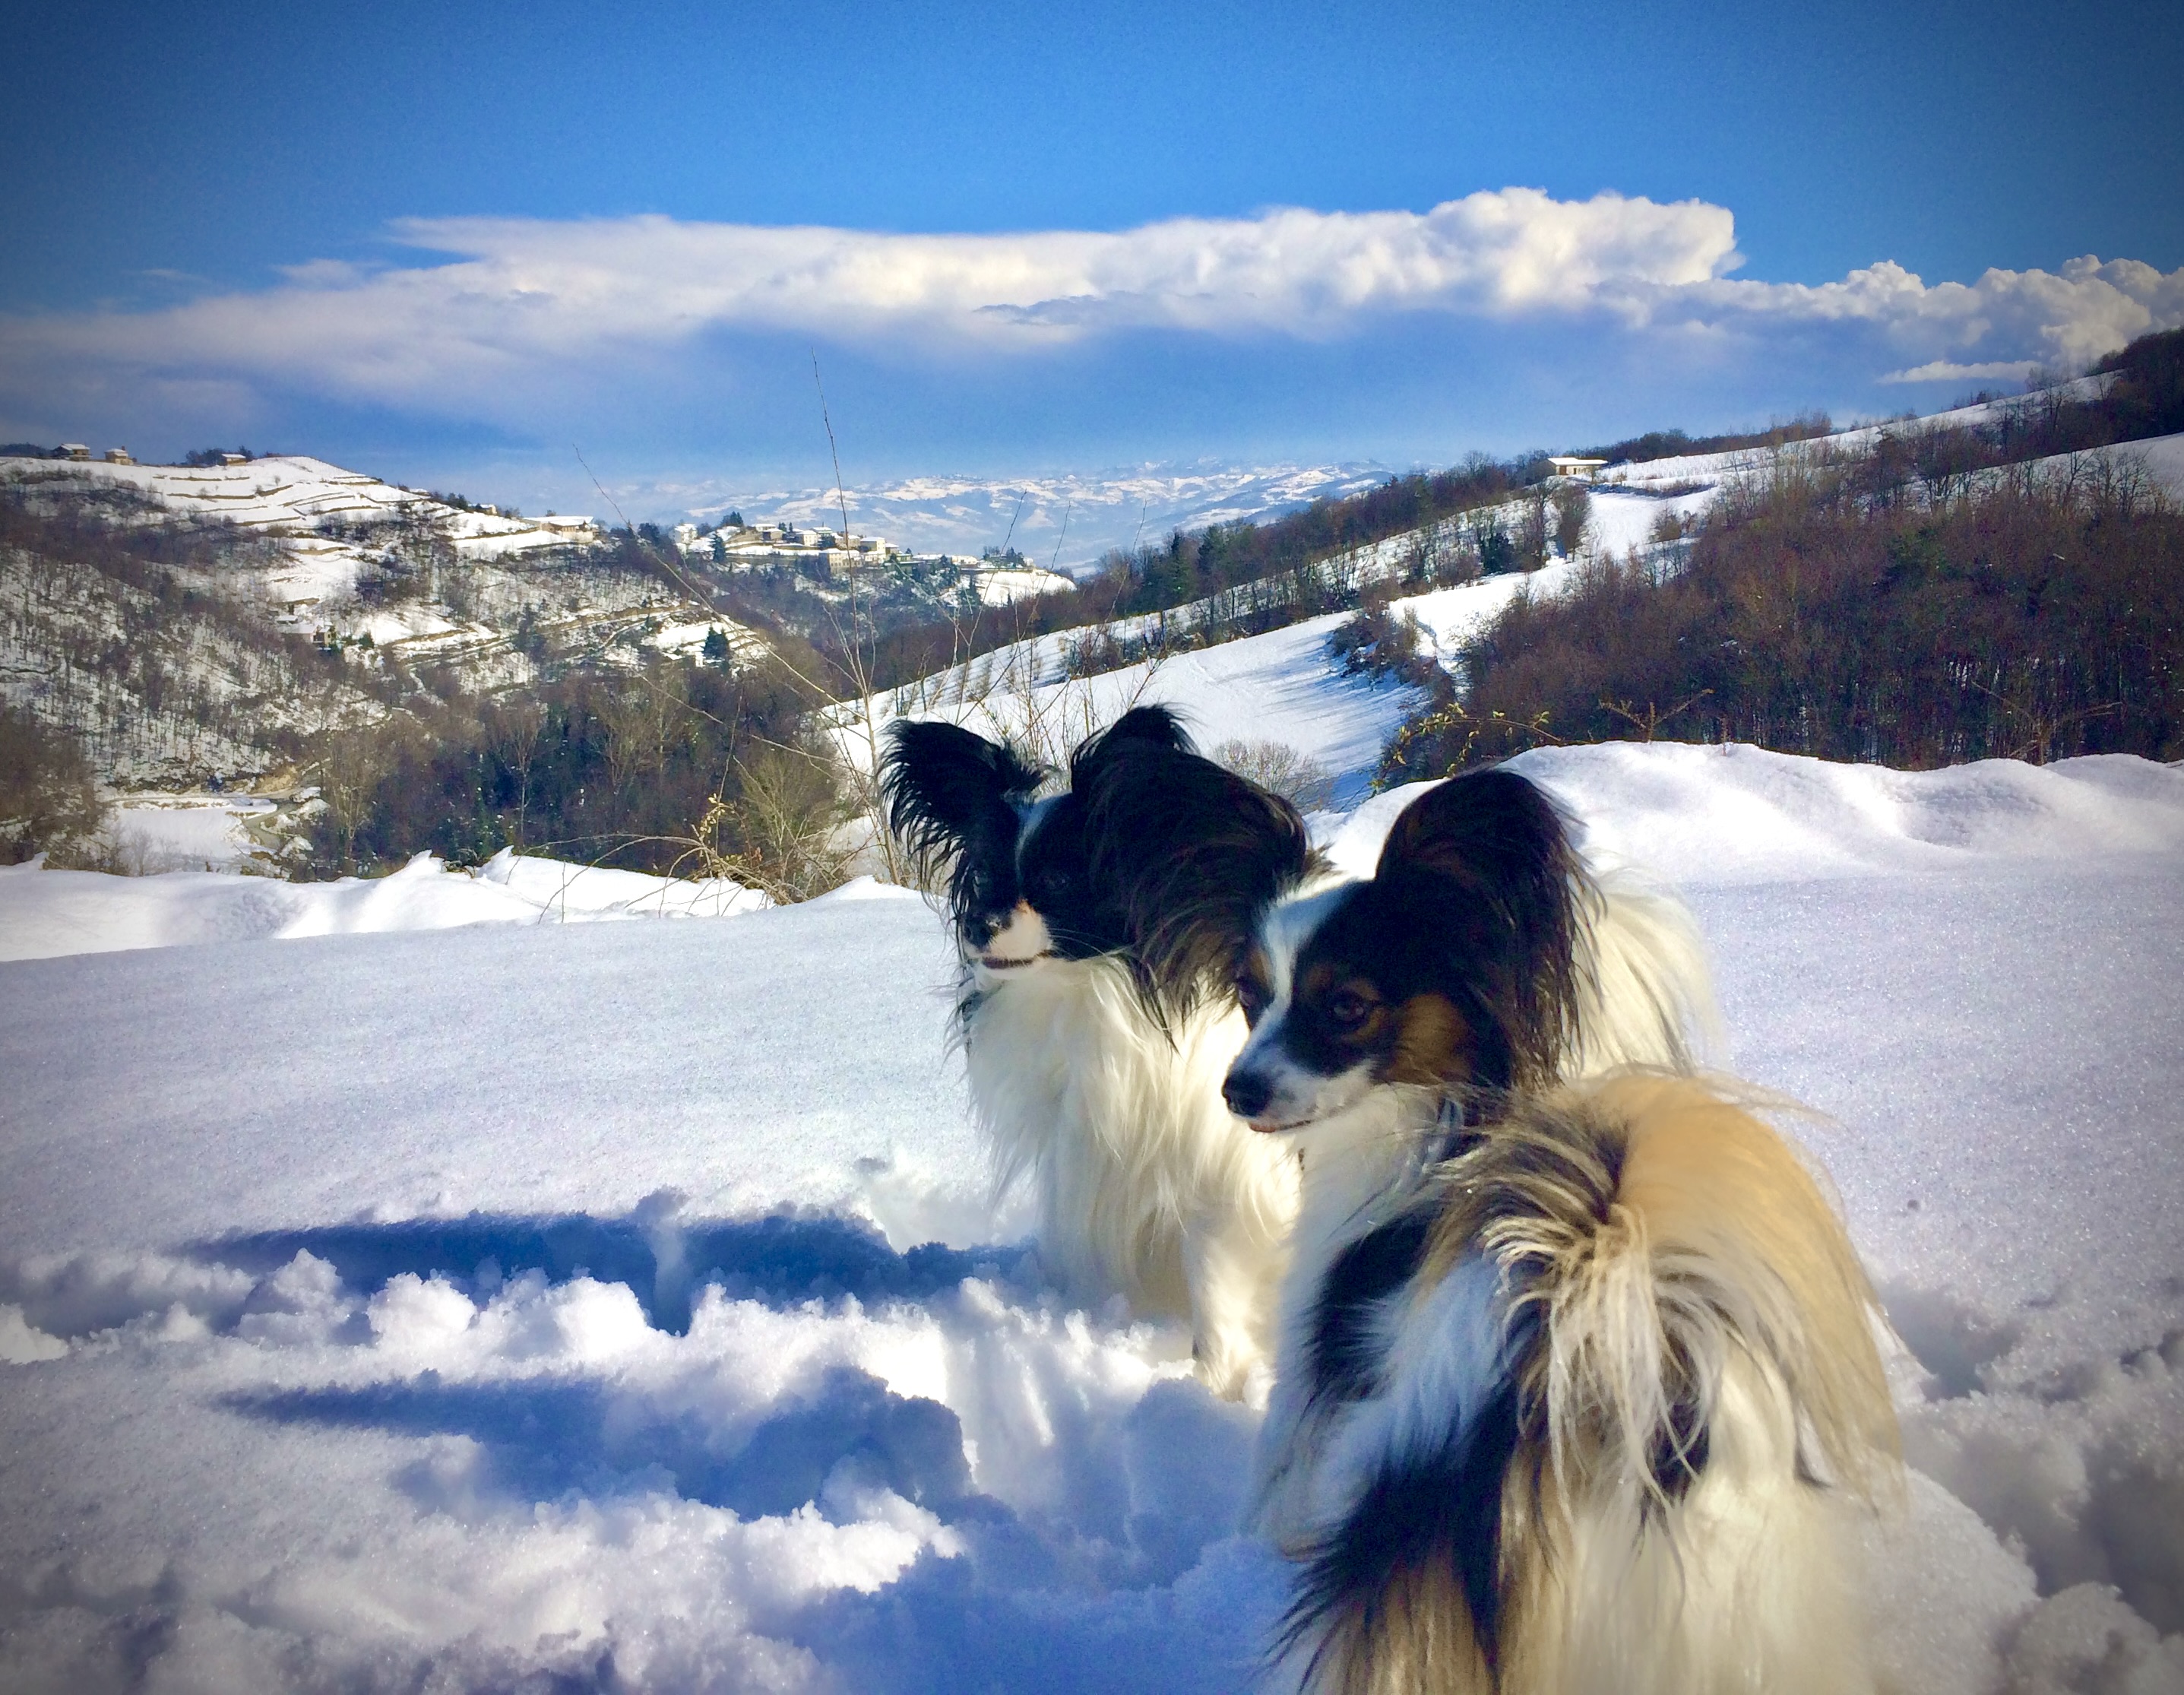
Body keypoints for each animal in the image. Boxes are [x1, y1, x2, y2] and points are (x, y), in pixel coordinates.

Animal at [1205, 773, 1904, 1695]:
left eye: (1346, 1006)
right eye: (1251, 999)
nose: (1237, 1090)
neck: (1449, 1112)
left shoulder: (1309, 1360)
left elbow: (1277, 1468)